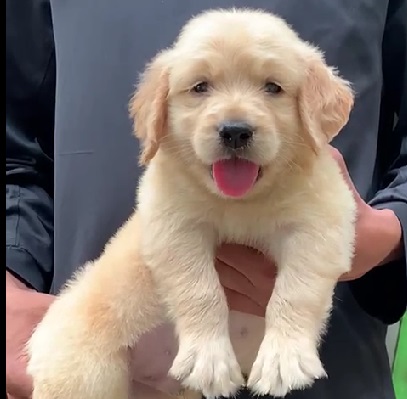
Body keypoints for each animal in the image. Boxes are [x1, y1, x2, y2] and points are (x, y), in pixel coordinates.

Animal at [27, 7, 356, 399]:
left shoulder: (319, 223)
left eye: (273, 87)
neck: (243, 202)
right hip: (86, 375)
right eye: (200, 87)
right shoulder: (174, 226)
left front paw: (283, 360)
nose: (234, 131)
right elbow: (200, 289)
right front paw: (209, 361)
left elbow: (297, 290)